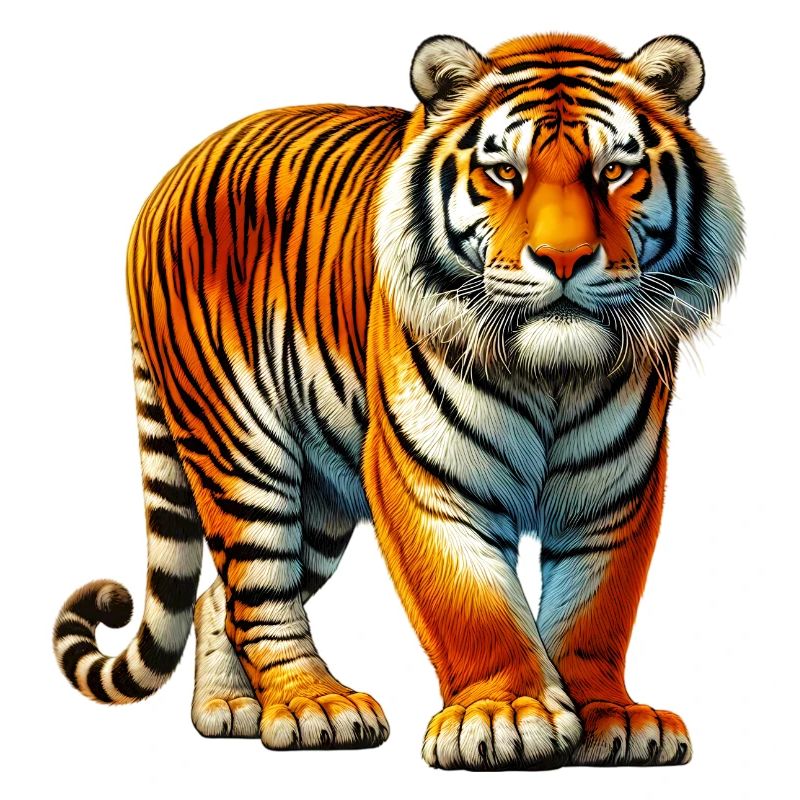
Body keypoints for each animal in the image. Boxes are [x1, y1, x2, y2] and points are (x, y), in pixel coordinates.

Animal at [53, 31, 743, 770]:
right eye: (504, 172)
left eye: (614, 170)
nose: (563, 258)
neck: (552, 373)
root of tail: (171, 176)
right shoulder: (428, 478)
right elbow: (471, 605)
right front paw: (504, 715)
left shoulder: (616, 493)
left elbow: (597, 609)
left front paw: (611, 717)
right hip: (238, 448)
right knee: (259, 592)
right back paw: (313, 705)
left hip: (322, 498)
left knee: (220, 598)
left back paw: (229, 709)